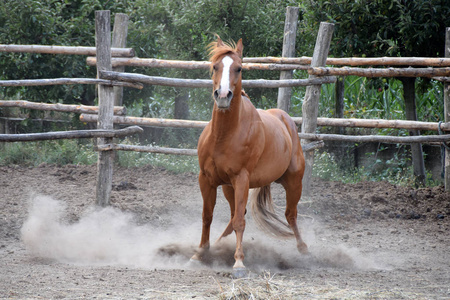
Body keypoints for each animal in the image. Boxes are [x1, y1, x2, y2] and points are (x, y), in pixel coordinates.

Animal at [192, 36, 308, 278]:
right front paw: (199, 253)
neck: (224, 135)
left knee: (290, 215)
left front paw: (238, 263)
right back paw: (219, 244)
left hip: (293, 182)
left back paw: (303, 249)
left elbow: (240, 222)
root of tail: (285, 119)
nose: (223, 96)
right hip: (229, 187)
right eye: (215, 67)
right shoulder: (206, 179)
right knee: (236, 214)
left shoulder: (241, 179)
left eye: (239, 68)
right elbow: (207, 216)